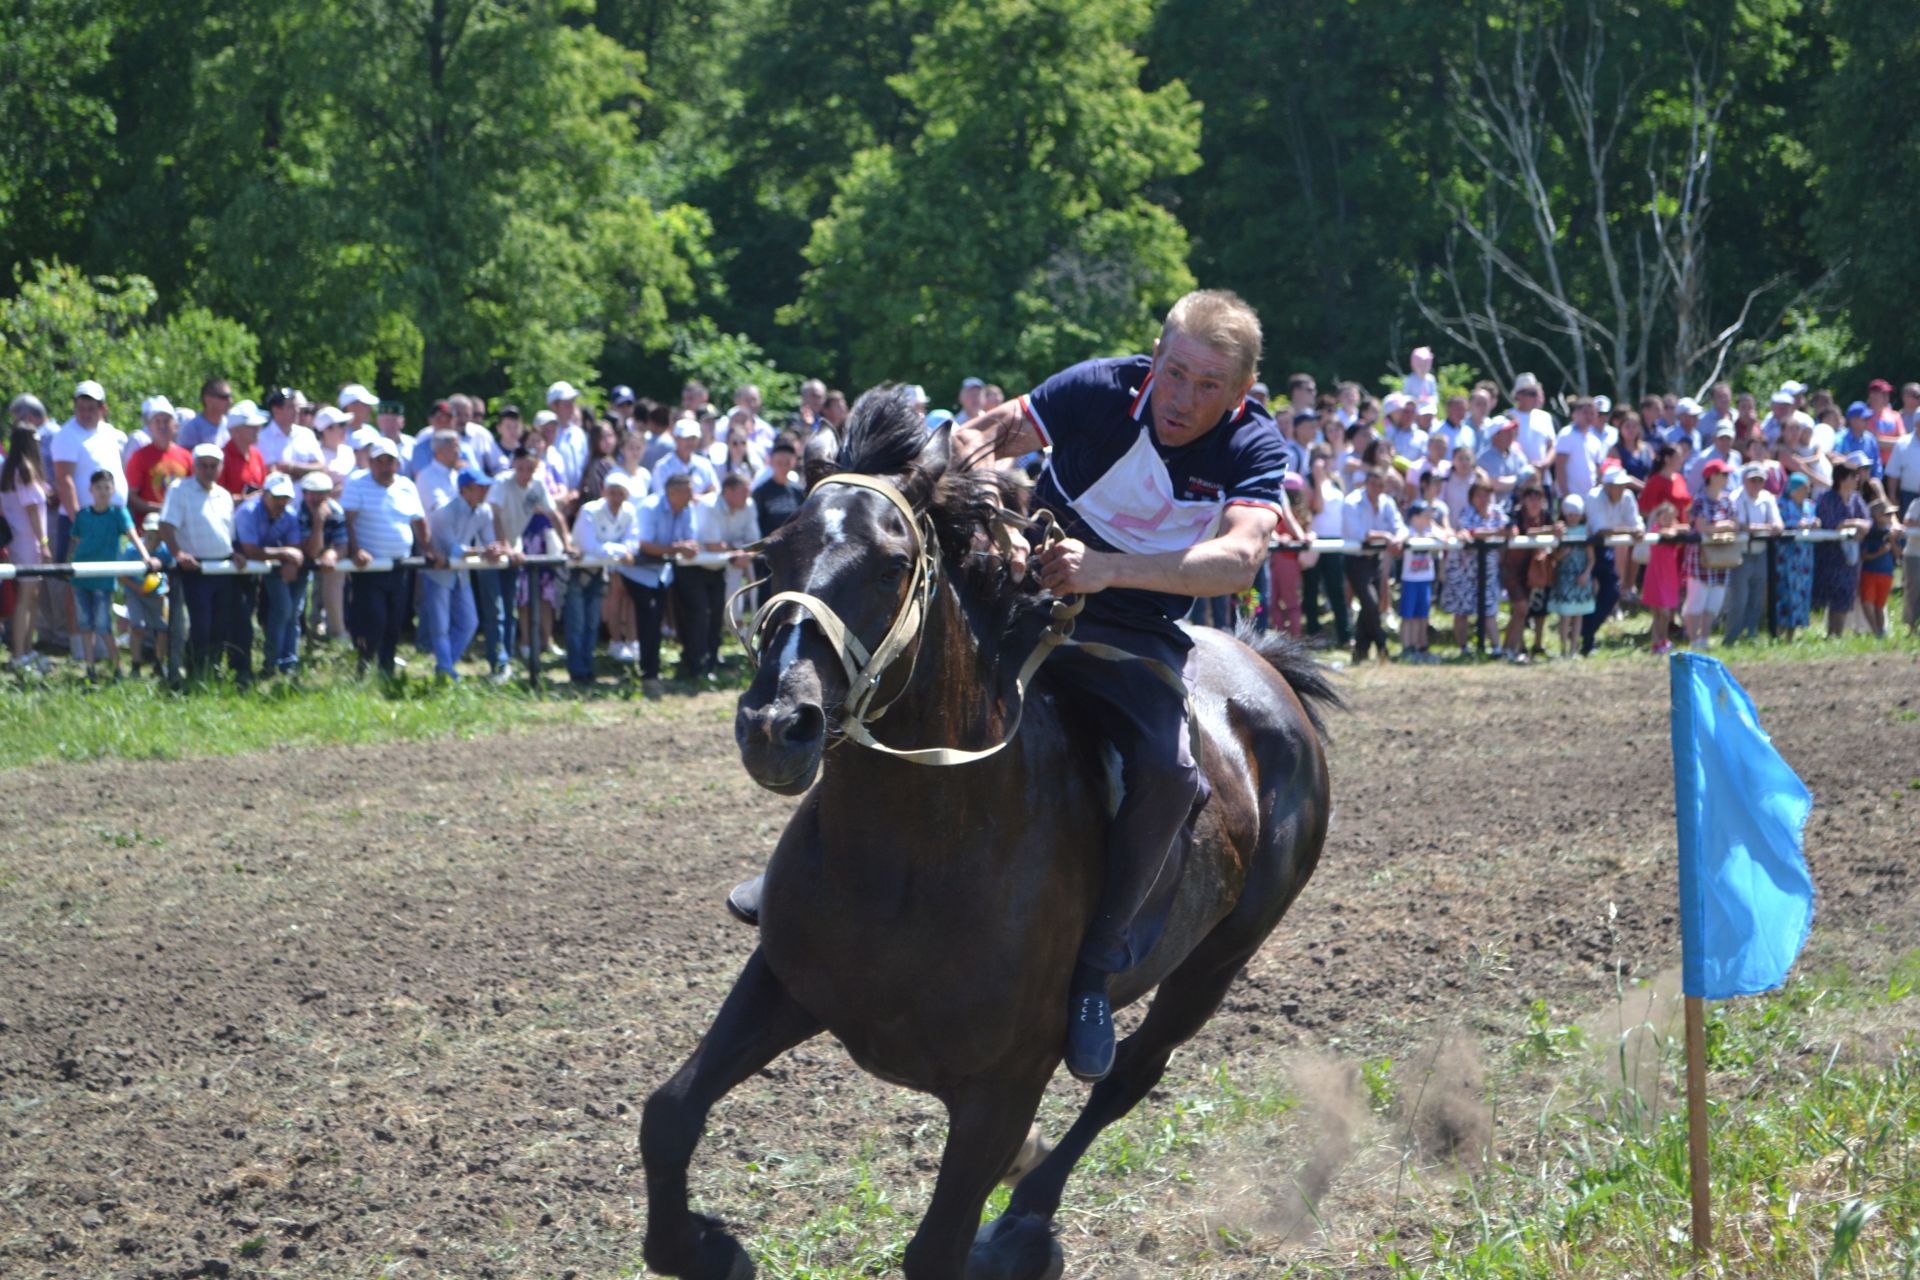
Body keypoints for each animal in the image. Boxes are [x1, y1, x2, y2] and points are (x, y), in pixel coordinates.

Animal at [645, 391, 1336, 1280]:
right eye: (773, 550)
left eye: (891, 562)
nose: (775, 724)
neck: (911, 858)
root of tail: (1267, 672)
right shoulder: (783, 981)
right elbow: (669, 1114)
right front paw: (709, 1247)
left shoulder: (1003, 1087)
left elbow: (937, 1246)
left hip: (1215, 963)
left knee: (1126, 1080)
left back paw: (1022, 1224)